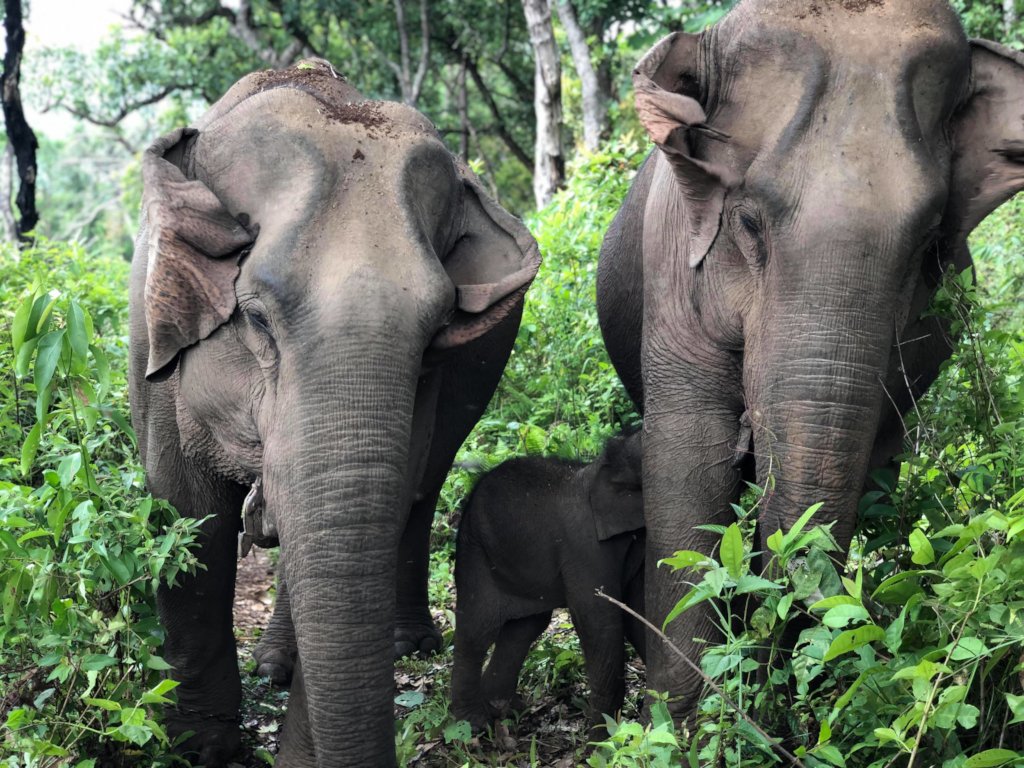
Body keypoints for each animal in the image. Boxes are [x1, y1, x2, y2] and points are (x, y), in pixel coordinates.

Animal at [128, 59, 540, 766]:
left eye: (437, 335)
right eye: (257, 317)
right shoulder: (157, 353)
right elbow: (187, 515)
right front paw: (199, 749)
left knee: (421, 485)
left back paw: (401, 645)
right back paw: (274, 665)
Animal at [450, 432, 647, 730]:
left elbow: (638, 615)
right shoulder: (584, 547)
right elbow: (599, 622)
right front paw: (601, 740)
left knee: (524, 627)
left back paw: (503, 707)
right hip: (474, 551)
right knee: (477, 630)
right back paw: (473, 723)